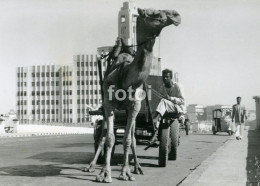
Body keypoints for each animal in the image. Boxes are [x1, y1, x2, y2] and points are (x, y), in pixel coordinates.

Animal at [85, 8, 181, 182]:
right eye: (154, 13)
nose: (176, 15)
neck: (125, 77)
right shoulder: (109, 105)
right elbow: (109, 138)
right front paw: (105, 174)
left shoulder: (135, 107)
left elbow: (128, 140)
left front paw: (125, 172)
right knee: (103, 136)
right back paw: (92, 166)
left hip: (134, 113)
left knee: (133, 138)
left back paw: (137, 167)